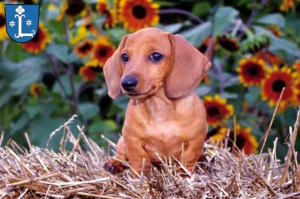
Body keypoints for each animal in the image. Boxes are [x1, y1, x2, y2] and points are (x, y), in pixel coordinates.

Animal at [103, 26, 211, 176]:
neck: (159, 108)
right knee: (121, 153)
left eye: (156, 56)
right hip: (121, 141)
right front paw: (139, 177)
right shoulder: (132, 139)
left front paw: (184, 175)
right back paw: (114, 163)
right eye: (124, 57)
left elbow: (188, 159)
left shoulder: (196, 139)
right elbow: (139, 158)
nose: (127, 83)